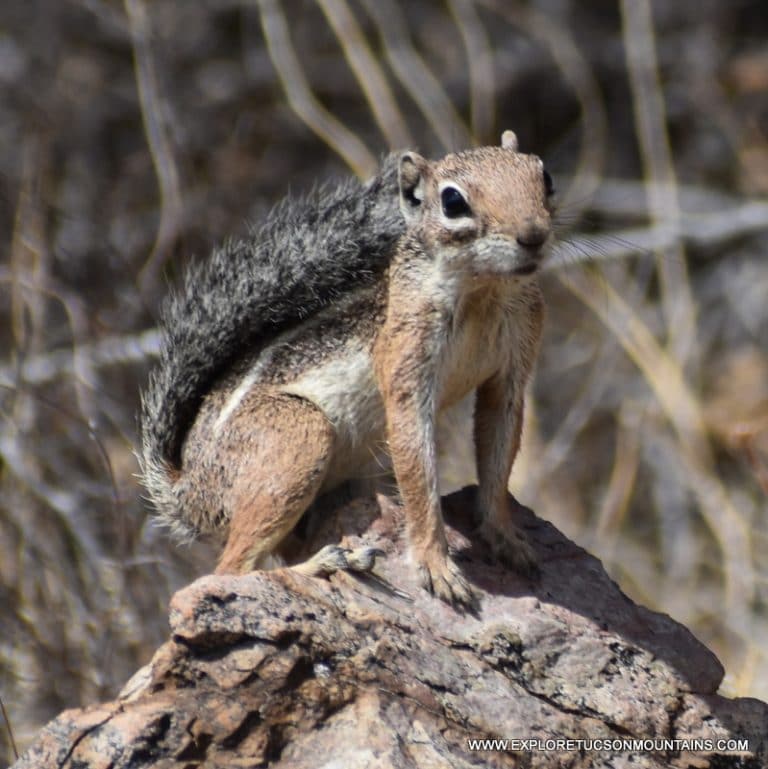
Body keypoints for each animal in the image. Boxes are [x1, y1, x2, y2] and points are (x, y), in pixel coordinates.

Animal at [141, 134, 556, 612]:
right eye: (453, 201)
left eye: (544, 176)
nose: (534, 235)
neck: (482, 291)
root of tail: (187, 490)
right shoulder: (406, 363)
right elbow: (418, 475)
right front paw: (437, 568)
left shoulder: (512, 365)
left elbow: (497, 455)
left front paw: (506, 539)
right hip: (297, 437)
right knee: (230, 571)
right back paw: (328, 563)